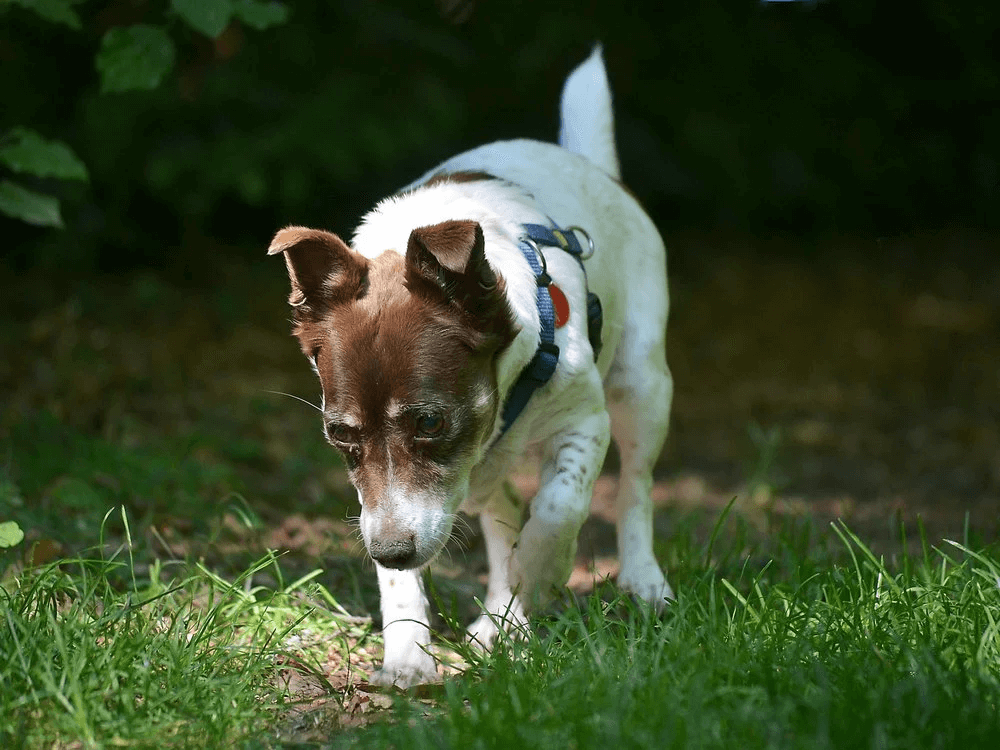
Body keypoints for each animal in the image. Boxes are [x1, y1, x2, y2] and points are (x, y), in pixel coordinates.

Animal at [268, 45, 672, 688]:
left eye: (430, 422)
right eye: (339, 435)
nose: (390, 552)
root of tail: (582, 158)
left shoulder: (585, 420)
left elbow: (558, 508)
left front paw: (542, 575)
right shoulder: (387, 501)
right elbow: (410, 568)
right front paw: (407, 654)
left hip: (642, 384)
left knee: (635, 485)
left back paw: (640, 581)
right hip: (480, 482)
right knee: (501, 508)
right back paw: (502, 617)